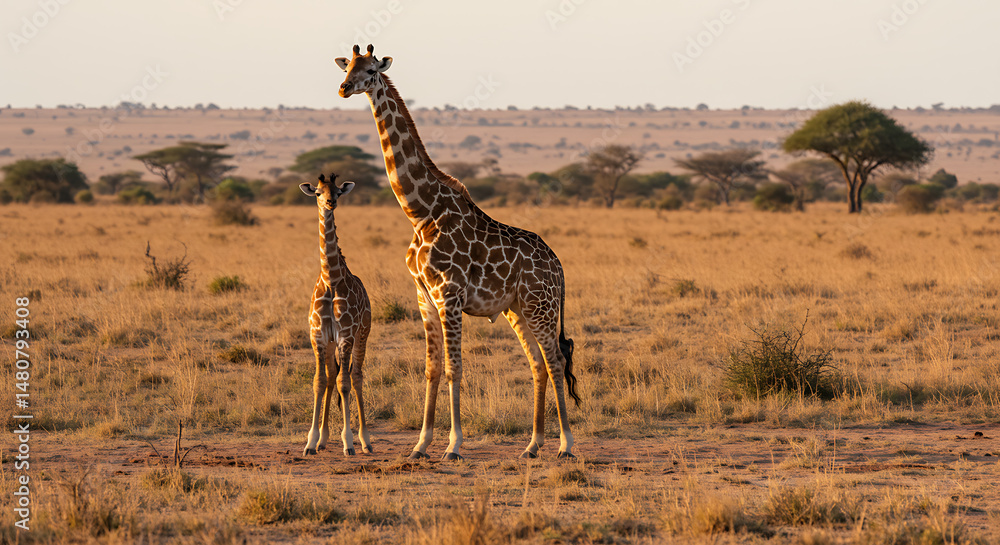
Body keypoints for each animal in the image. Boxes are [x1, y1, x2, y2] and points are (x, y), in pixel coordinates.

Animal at [299, 172, 373, 457]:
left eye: (338, 191)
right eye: (318, 193)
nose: (331, 203)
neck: (331, 279)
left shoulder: (346, 336)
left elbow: (344, 383)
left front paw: (348, 442)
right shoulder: (319, 336)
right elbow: (320, 381)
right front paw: (311, 442)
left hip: (363, 334)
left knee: (355, 376)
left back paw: (365, 441)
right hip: (332, 343)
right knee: (332, 376)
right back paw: (323, 440)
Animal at [335, 44, 580, 460]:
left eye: (370, 70)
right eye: (346, 66)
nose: (344, 88)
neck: (421, 212)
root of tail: (558, 265)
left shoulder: (448, 294)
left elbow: (455, 367)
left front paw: (453, 445)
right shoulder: (424, 296)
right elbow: (432, 368)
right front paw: (420, 445)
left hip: (540, 305)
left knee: (557, 359)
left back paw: (565, 444)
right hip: (517, 308)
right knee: (538, 363)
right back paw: (532, 445)